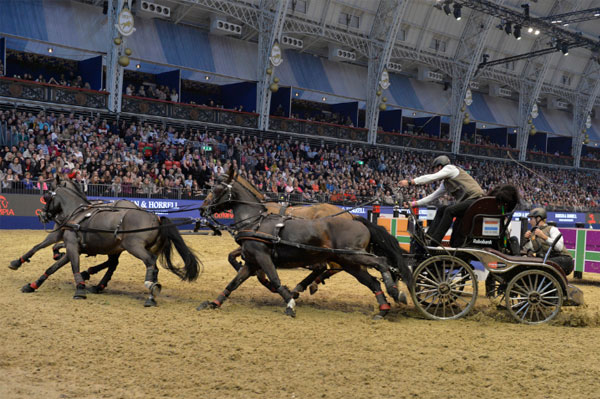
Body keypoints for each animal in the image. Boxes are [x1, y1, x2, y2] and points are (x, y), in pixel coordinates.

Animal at [38, 177, 200, 306]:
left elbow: (69, 260)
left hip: (134, 247)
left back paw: (148, 291)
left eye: (47, 196)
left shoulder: (73, 243)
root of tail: (157, 218)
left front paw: (80, 285)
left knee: (148, 262)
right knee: (133, 265)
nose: (43, 215)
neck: (79, 213)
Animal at [197, 167, 412, 320]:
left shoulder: (262, 256)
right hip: (349, 261)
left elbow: (274, 278)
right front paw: (213, 303)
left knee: (381, 262)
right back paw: (383, 308)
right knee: (371, 281)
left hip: (353, 255)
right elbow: (234, 282)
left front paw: (289, 303)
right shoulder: (252, 260)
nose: (202, 209)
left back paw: (395, 291)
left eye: (217, 188)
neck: (256, 220)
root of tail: (355, 218)